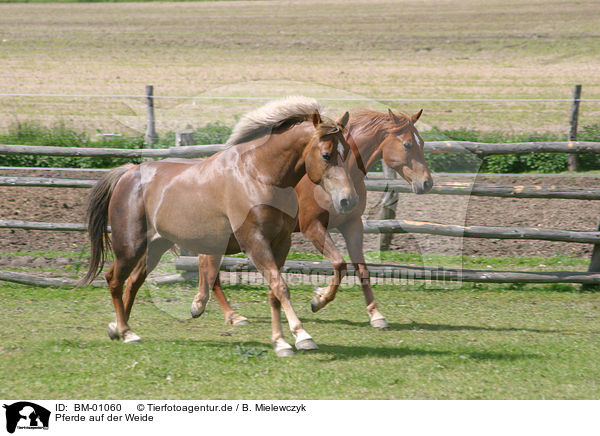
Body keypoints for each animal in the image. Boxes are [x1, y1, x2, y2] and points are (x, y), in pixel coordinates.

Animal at [79, 97, 360, 356]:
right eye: (326, 154)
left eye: (347, 152)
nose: (348, 200)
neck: (258, 174)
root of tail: (128, 172)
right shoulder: (254, 242)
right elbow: (280, 286)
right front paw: (300, 336)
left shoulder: (281, 243)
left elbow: (275, 291)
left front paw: (283, 338)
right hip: (130, 246)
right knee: (115, 280)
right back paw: (126, 332)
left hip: (155, 247)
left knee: (133, 282)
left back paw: (117, 328)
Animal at [204, 108, 434, 328]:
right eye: (407, 145)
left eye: (422, 142)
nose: (427, 183)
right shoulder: (313, 227)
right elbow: (340, 264)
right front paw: (319, 300)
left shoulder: (352, 225)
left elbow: (361, 268)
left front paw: (376, 315)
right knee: (211, 268)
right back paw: (231, 315)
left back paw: (204, 305)